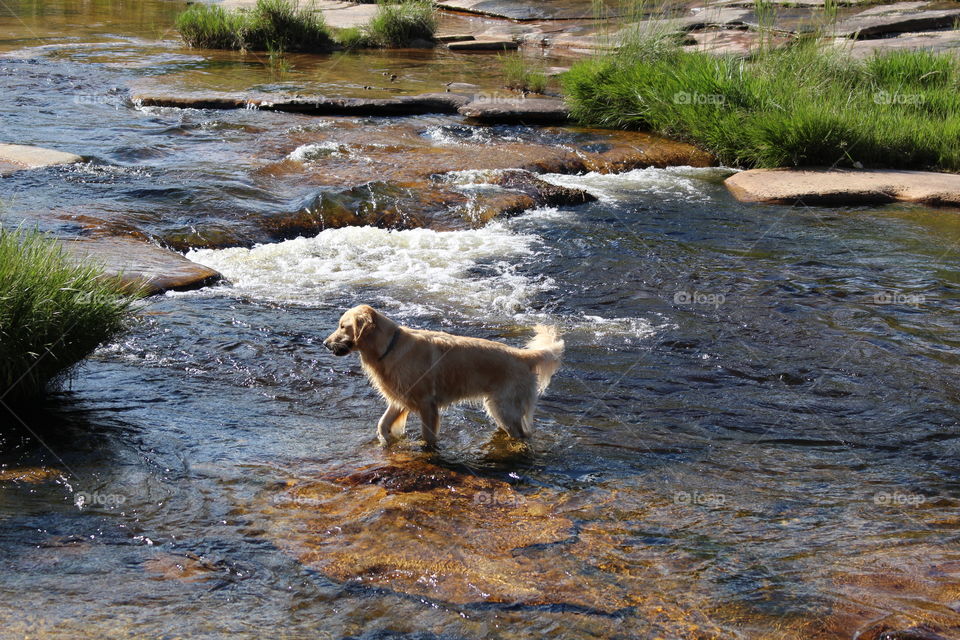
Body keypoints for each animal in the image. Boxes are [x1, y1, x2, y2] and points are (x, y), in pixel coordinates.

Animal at [322, 304, 564, 444]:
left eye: (343, 326)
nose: (324, 343)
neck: (389, 347)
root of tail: (524, 355)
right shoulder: (401, 398)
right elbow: (382, 424)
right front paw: (387, 440)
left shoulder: (426, 403)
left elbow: (428, 438)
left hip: (504, 407)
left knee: (523, 434)